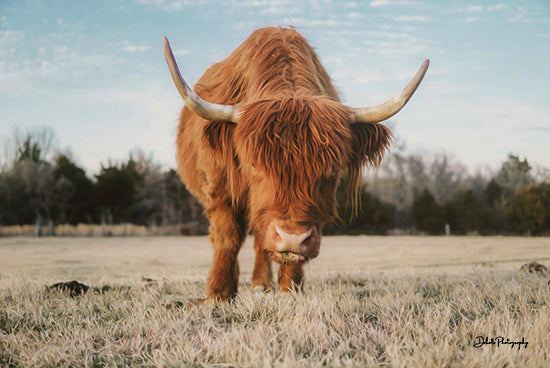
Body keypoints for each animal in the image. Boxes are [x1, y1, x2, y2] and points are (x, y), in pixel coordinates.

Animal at [164, 25, 432, 302]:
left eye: (332, 169)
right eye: (253, 164)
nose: (292, 239)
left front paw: (290, 287)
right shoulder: (219, 189)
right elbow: (228, 236)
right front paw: (219, 293)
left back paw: (262, 283)